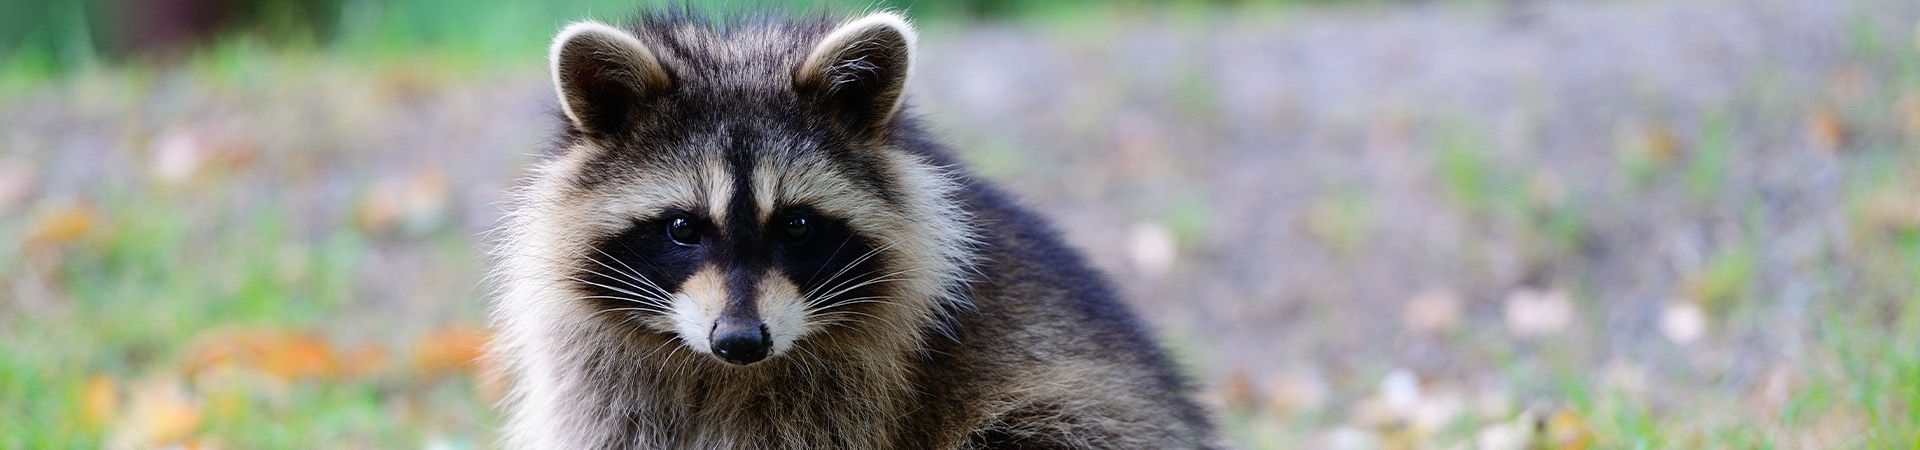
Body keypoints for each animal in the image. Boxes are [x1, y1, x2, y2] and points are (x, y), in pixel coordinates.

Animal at [488, 10, 1218, 449]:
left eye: (797, 225)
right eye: (681, 228)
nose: (740, 341)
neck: (721, 371)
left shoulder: (865, 390)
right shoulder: (601, 380)